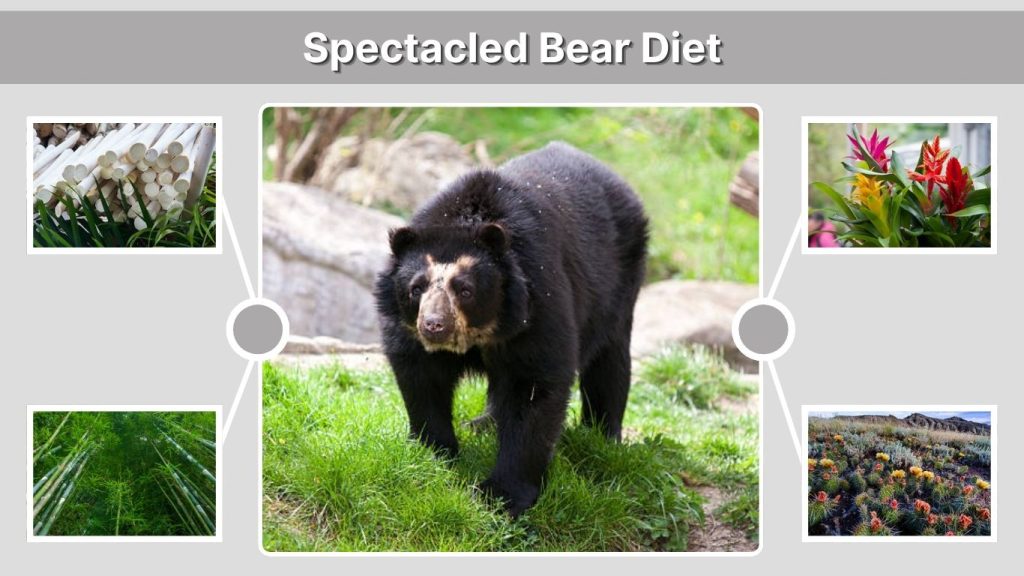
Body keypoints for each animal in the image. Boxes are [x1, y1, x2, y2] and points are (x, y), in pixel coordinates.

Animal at [374, 142, 648, 516]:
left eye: (465, 289)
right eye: (417, 288)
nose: (434, 325)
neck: (482, 332)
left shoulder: (537, 303)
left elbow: (534, 387)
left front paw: (501, 497)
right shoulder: (408, 332)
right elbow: (422, 378)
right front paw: (433, 453)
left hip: (619, 283)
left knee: (609, 361)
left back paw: (602, 437)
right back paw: (483, 424)